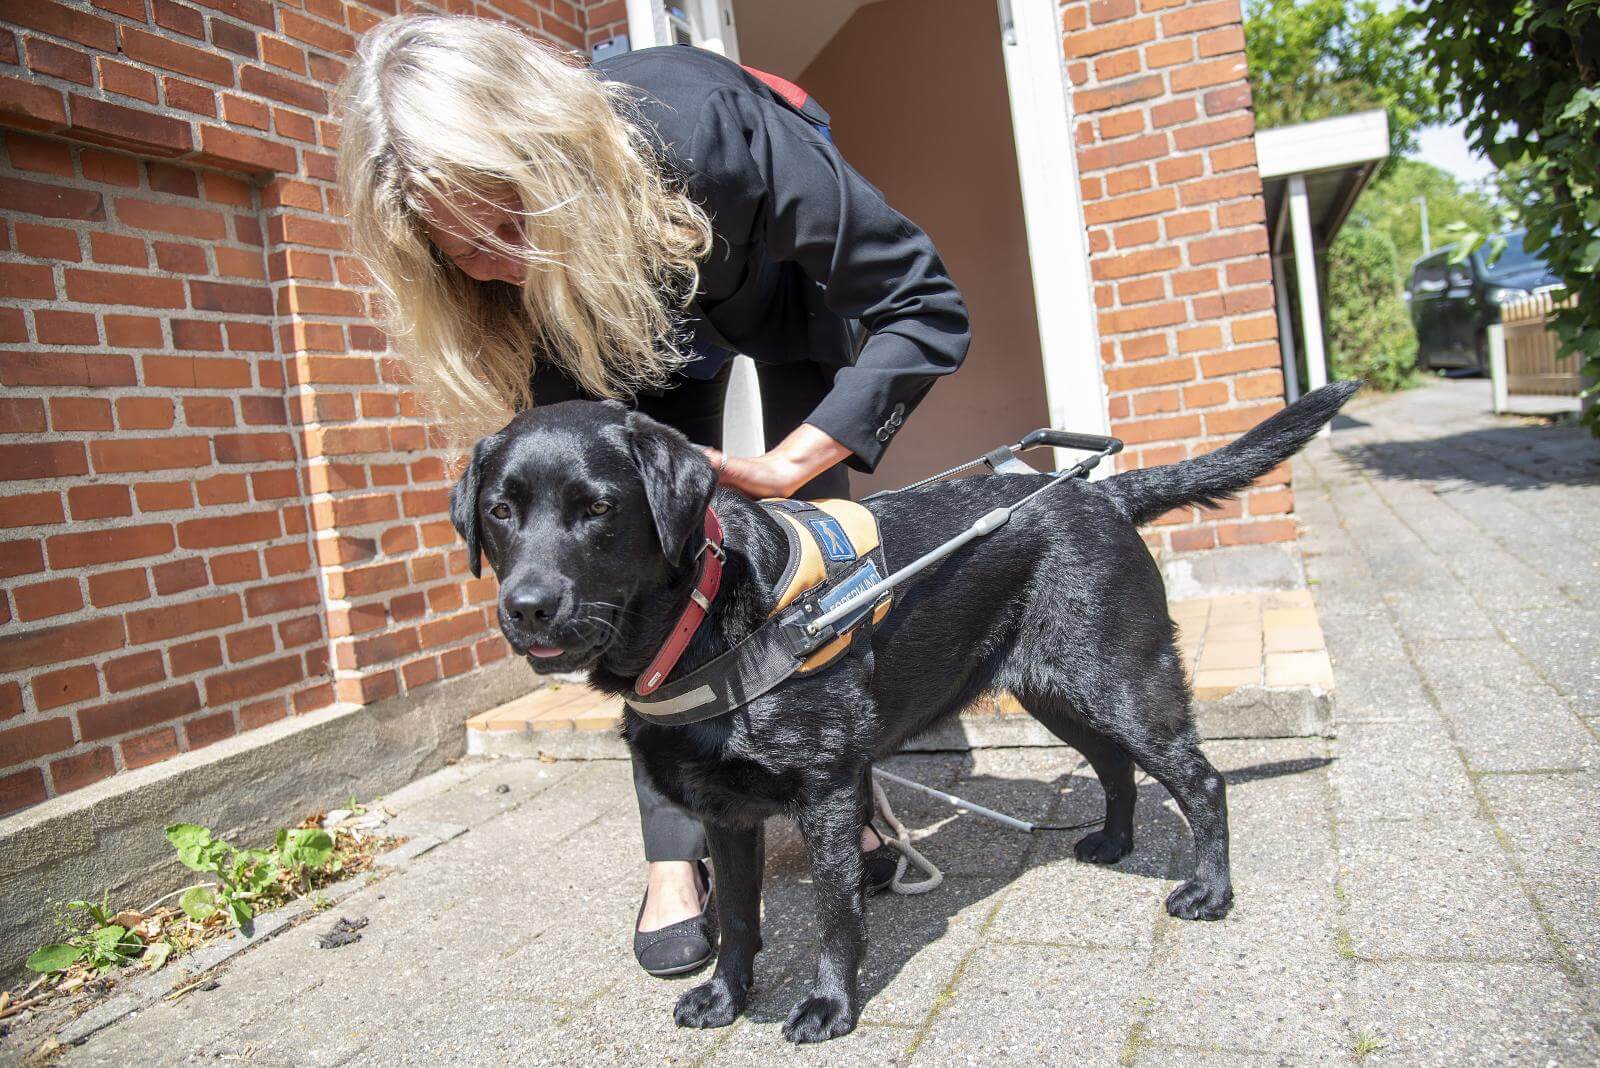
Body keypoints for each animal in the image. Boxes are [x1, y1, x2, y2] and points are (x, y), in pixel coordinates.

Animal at [451, 378, 1350, 1036]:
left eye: (599, 507)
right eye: (500, 510)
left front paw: (828, 1006)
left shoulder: (827, 791)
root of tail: (1102, 496)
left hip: (1121, 681)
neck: (702, 625)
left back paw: (1209, 891)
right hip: (1056, 693)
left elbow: (837, 912)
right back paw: (1113, 842)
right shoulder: (724, 813)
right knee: (1114, 768)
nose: (527, 607)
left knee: (1200, 779)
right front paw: (725, 998)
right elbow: (737, 917)